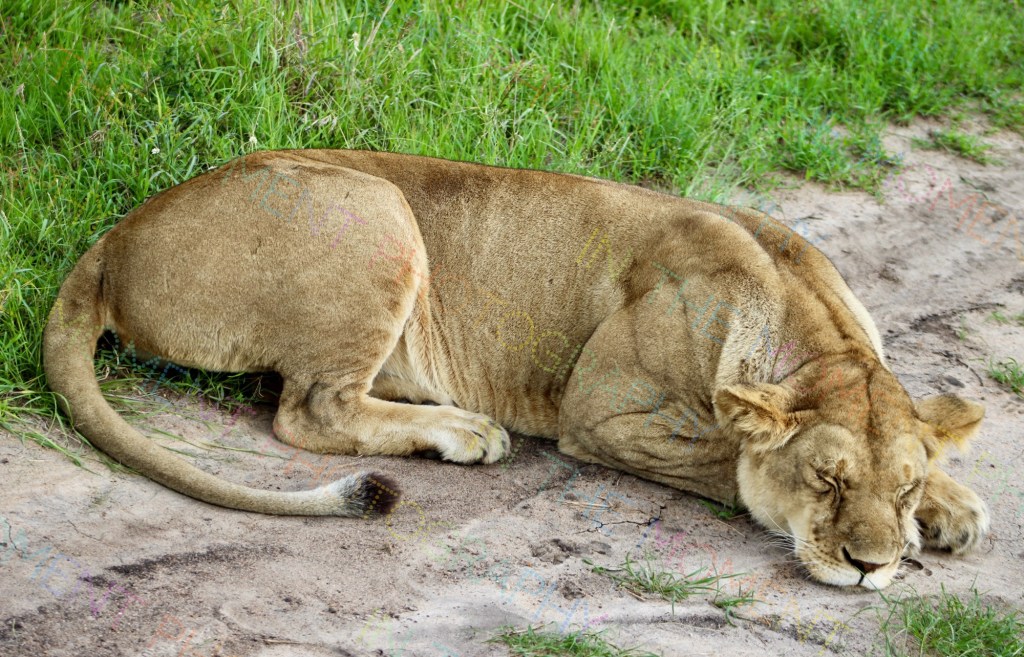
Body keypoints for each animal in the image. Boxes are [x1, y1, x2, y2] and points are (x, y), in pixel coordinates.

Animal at [44, 149, 990, 589]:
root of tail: (113, 240)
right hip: (376, 206)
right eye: (827, 481)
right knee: (308, 411)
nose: (868, 566)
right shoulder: (601, 414)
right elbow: (729, 458)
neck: (813, 332)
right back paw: (465, 431)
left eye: (900, 485)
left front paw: (950, 506)